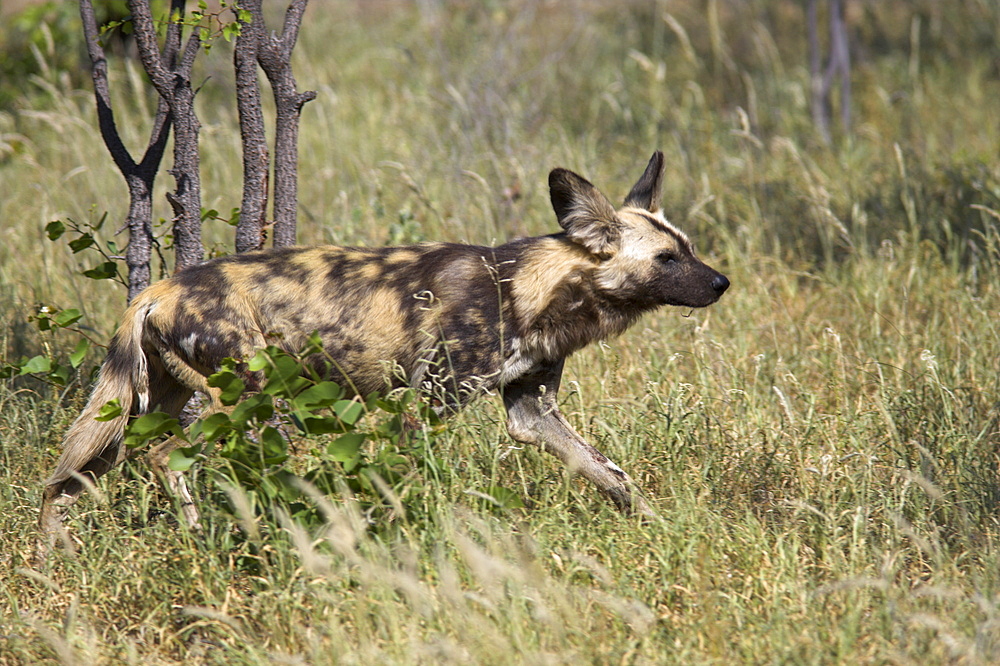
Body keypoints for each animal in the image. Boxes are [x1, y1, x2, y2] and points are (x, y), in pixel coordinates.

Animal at [35, 152, 728, 560]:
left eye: (689, 248)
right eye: (667, 259)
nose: (722, 283)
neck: (533, 289)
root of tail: (155, 289)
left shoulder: (532, 414)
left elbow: (612, 476)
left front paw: (658, 528)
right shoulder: (426, 403)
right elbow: (407, 481)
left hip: (140, 409)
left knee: (68, 481)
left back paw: (55, 559)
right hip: (242, 395)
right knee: (164, 455)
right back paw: (202, 537)